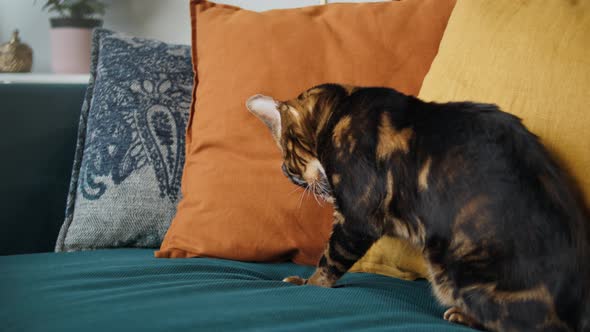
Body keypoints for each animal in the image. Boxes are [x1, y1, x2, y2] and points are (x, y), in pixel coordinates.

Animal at [246, 84, 590, 330]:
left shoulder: (356, 216)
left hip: (451, 268)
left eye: (289, 169)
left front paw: (307, 283)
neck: (342, 107)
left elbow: (329, 260)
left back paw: (462, 315)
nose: (291, 178)